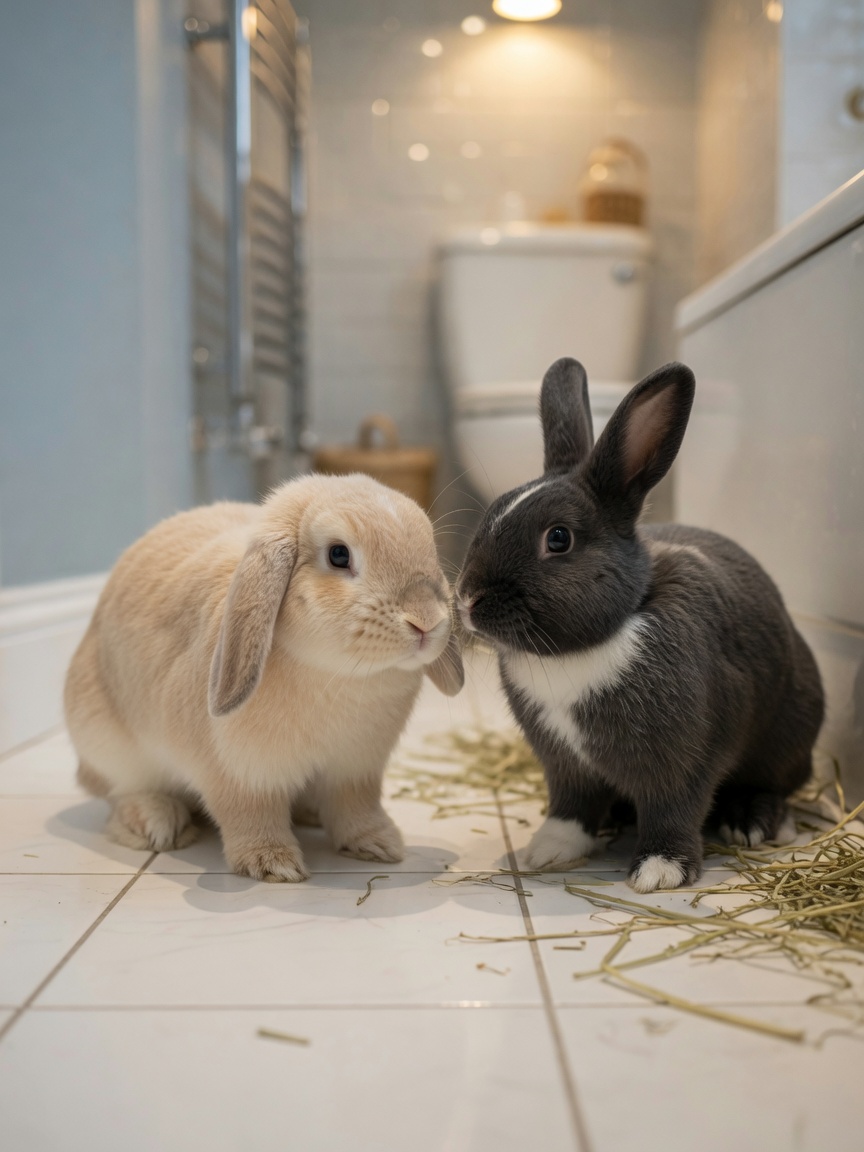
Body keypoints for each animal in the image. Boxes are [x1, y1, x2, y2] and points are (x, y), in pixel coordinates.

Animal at [65, 472, 464, 882]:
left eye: (429, 548)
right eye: (339, 555)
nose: (426, 621)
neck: (337, 673)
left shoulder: (356, 771)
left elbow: (357, 809)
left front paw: (380, 844)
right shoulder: (240, 774)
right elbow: (250, 815)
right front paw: (273, 863)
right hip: (108, 747)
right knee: (120, 792)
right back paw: (155, 823)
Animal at [455, 358, 824, 893]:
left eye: (558, 539)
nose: (466, 599)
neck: (582, 650)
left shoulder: (685, 758)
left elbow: (674, 808)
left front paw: (659, 871)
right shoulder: (564, 765)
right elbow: (570, 807)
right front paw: (548, 851)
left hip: (788, 735)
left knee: (774, 784)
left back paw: (749, 821)